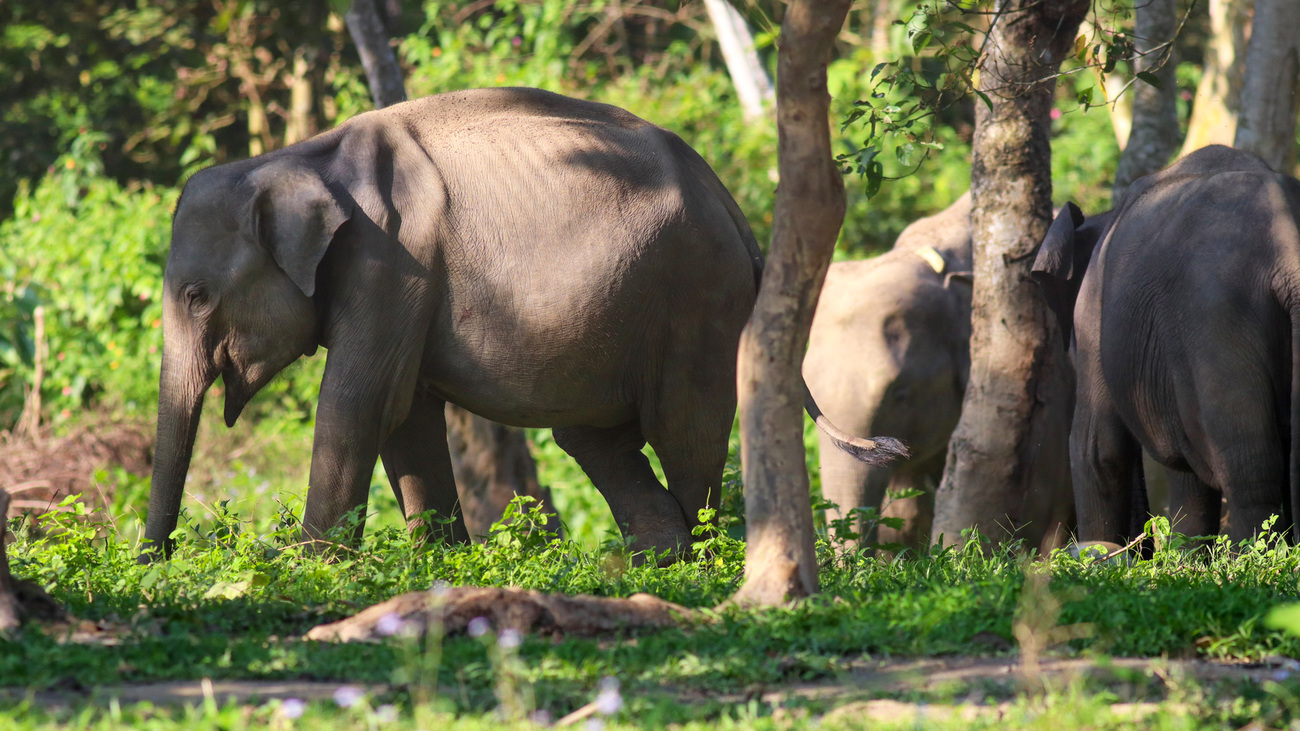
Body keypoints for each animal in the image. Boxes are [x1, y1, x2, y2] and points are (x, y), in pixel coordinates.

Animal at [142, 87, 906, 561]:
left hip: (696, 302)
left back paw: (701, 564)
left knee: (683, 431)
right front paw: (441, 566)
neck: (300, 157)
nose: (157, 561)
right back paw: (651, 565)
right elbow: (407, 416)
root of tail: (737, 211)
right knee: (596, 439)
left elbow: (360, 405)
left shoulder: (391, 264)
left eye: (197, 295)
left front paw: (309, 567)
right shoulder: (398, 283)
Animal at [1031, 145, 1300, 545]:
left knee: (1248, 466)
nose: (1141, 549)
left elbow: (1097, 449)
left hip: (1217, 323)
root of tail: (1289, 250)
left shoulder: (1093, 306)